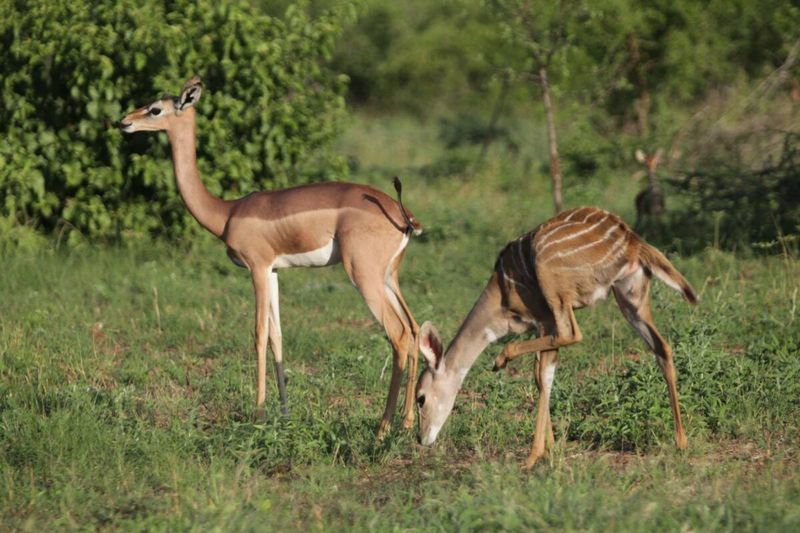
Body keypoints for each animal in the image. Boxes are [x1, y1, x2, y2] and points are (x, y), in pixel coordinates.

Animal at [117, 77, 424, 438]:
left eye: (155, 109)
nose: (124, 121)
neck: (227, 212)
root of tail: (402, 215)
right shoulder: (274, 271)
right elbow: (278, 336)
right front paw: (285, 414)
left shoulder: (257, 267)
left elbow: (259, 335)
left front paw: (260, 416)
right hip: (389, 277)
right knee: (415, 329)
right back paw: (407, 423)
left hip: (363, 276)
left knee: (398, 334)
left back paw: (382, 428)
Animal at [416, 206, 696, 468]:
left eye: (421, 398)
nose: (421, 439)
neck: (501, 299)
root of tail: (631, 240)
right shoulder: (543, 328)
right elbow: (543, 377)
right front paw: (550, 448)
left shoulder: (545, 320)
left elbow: (542, 375)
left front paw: (535, 455)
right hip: (631, 298)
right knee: (662, 347)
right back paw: (681, 441)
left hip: (557, 287)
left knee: (574, 333)